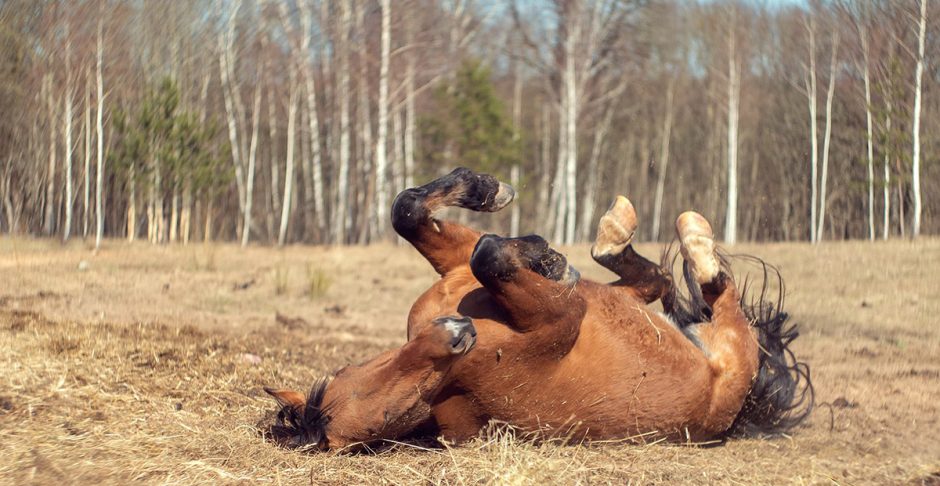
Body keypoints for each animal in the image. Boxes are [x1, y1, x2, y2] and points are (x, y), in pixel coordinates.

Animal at [260, 168, 812, 452]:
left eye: (342, 373)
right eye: (390, 415)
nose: (458, 330)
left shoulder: (454, 267)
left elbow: (409, 211)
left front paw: (489, 193)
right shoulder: (561, 317)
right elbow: (489, 252)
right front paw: (546, 257)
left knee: (651, 278)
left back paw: (612, 235)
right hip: (733, 358)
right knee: (718, 291)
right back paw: (691, 241)